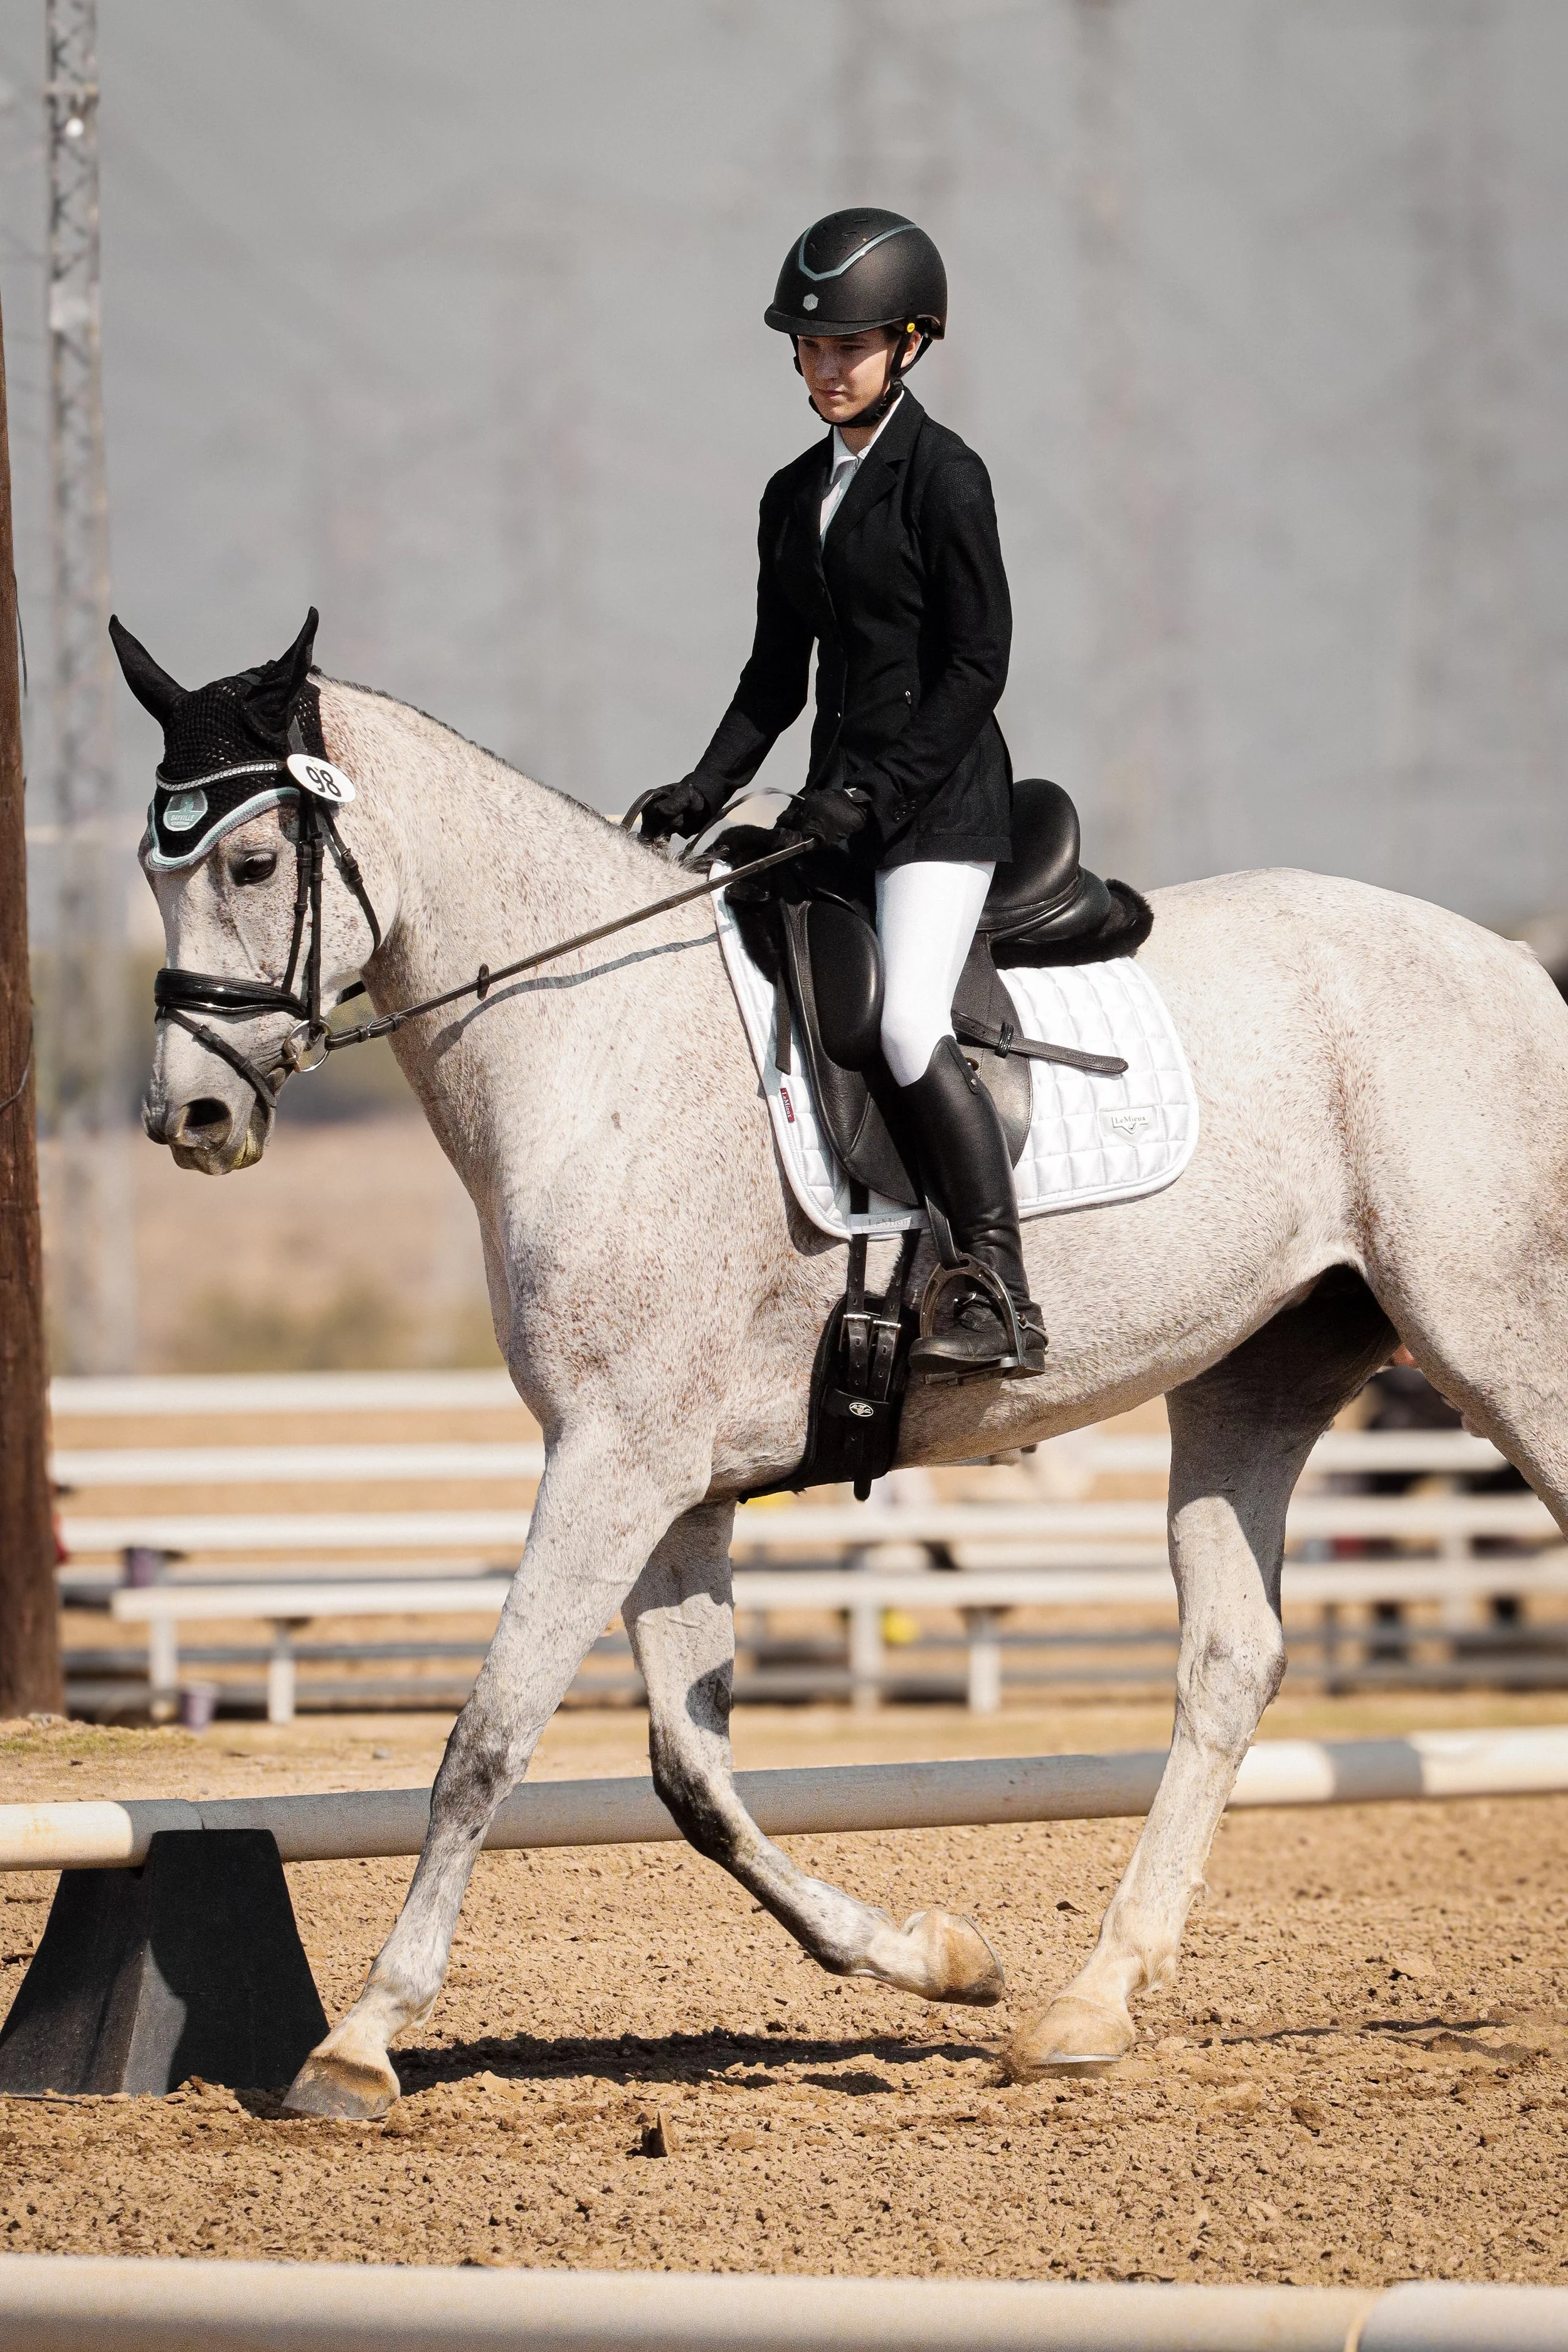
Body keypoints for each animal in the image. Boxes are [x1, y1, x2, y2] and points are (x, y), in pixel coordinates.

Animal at [129, 631, 1568, 2119]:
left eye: (251, 864)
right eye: (153, 867)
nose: (192, 1115)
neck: (596, 1044)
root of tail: (1515, 961)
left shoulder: (613, 1456)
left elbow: (490, 1733)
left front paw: (359, 2039)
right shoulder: (670, 1478)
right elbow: (690, 1772)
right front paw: (936, 1957)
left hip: (1492, 1333)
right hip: (1255, 1376)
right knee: (1229, 1659)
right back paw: (1085, 2006)